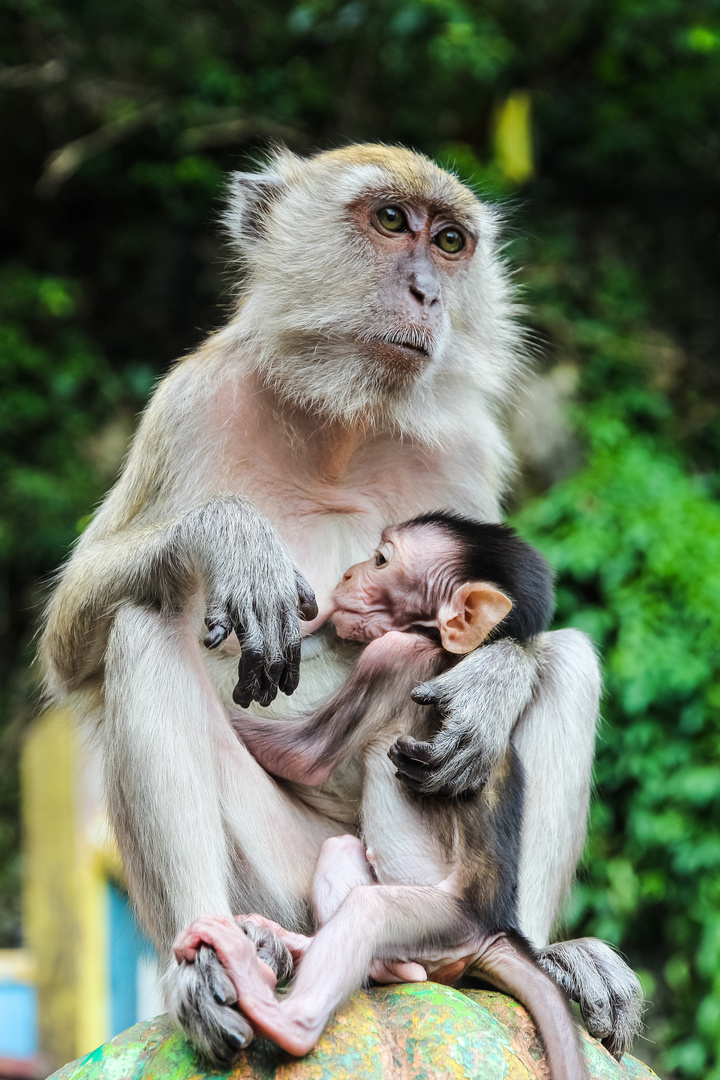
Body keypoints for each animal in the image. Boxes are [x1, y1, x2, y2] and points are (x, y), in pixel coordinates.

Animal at [175, 516, 591, 1080]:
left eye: (380, 561)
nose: (347, 573)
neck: (438, 643)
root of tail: (498, 931)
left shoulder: (393, 656)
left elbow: (305, 757)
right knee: (345, 864)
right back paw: (299, 949)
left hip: (441, 921)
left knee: (370, 913)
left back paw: (282, 1014)